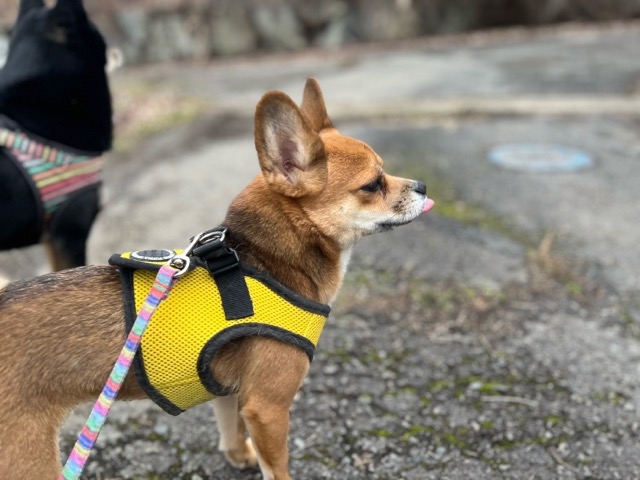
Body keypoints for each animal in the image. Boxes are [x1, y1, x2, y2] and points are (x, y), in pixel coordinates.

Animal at [0, 78, 434, 480]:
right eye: (373, 184)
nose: (423, 185)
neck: (264, 260)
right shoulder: (269, 409)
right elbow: (277, 467)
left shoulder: (229, 391)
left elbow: (229, 426)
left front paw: (239, 455)